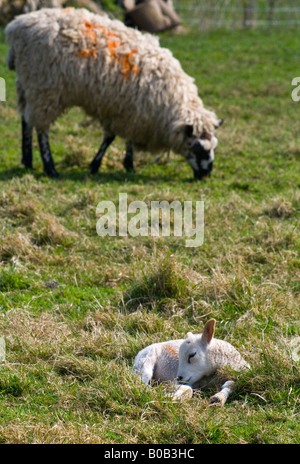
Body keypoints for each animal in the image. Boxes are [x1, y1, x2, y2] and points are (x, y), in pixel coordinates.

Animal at [5, 7, 223, 179]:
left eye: (214, 147)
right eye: (197, 147)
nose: (206, 174)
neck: (170, 105)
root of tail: (16, 28)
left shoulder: (134, 112)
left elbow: (125, 139)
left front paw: (128, 164)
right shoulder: (125, 111)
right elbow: (110, 138)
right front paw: (97, 165)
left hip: (27, 83)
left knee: (25, 120)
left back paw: (27, 161)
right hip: (45, 88)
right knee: (41, 129)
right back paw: (50, 168)